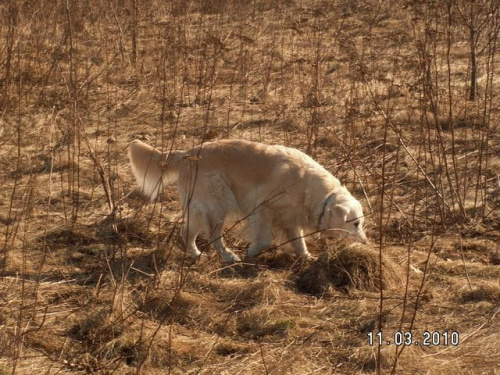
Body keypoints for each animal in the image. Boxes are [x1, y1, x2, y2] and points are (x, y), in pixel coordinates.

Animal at [129, 139, 368, 264]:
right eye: (355, 223)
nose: (366, 242)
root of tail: (186, 153)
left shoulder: (291, 219)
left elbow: (299, 242)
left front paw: (308, 258)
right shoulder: (263, 209)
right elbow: (264, 240)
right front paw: (251, 252)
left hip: (201, 208)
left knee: (187, 232)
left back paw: (196, 254)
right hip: (217, 205)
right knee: (213, 236)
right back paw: (228, 256)